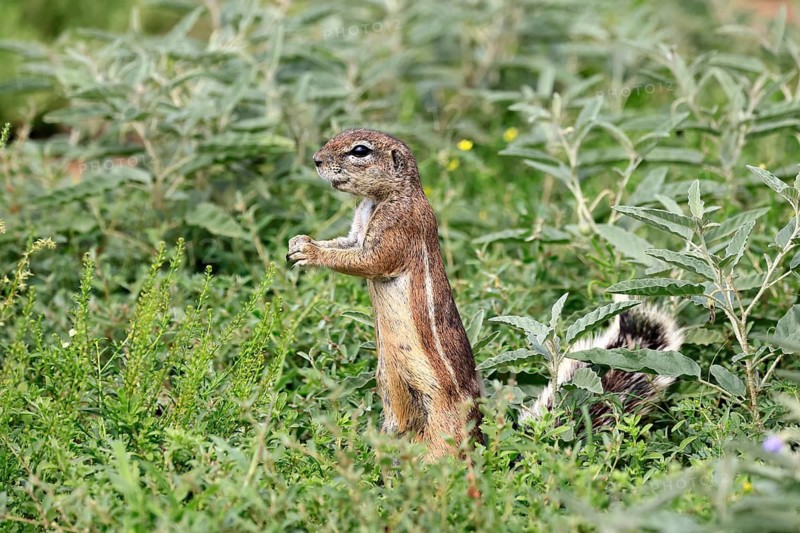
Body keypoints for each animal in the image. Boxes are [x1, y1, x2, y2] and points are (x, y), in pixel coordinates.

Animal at [287, 128, 682, 460]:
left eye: (360, 151)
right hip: (392, 389)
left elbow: (370, 259)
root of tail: (483, 443)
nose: (316, 160)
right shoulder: (358, 228)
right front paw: (298, 243)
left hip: (441, 426)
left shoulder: (398, 228)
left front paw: (310, 252)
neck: (383, 198)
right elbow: (347, 245)